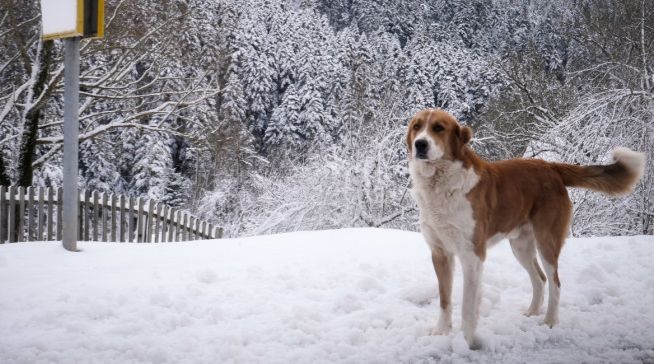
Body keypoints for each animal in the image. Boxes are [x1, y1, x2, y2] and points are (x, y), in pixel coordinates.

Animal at [408, 108, 648, 350]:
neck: (441, 183)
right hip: (521, 246)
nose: (420, 144)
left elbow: (467, 307)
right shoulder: (440, 254)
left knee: (555, 282)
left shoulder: (472, 256)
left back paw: (550, 321)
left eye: (439, 128)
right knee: (539, 279)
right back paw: (532, 312)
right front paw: (441, 332)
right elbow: (444, 299)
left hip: (546, 242)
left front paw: (466, 342)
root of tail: (551, 166)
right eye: (417, 127)